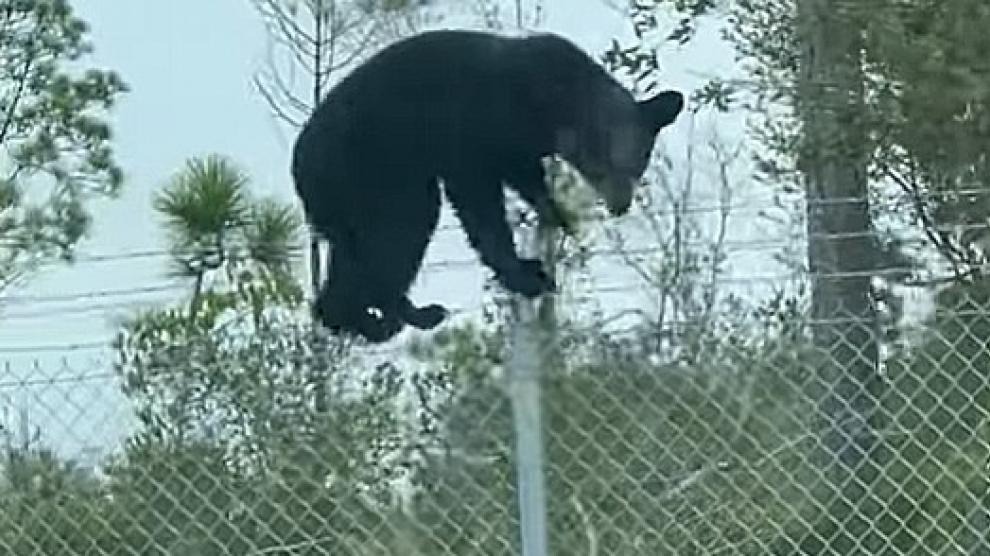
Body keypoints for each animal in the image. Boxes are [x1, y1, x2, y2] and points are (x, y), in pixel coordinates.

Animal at [290, 30, 684, 344]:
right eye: (614, 166)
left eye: (639, 166)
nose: (621, 205)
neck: (556, 105)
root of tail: (301, 165)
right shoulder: (478, 123)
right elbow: (478, 199)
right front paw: (523, 273)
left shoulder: (521, 144)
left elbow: (524, 174)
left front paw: (554, 213)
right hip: (372, 170)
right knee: (401, 230)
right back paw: (401, 314)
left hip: (351, 198)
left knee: (357, 254)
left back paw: (353, 317)